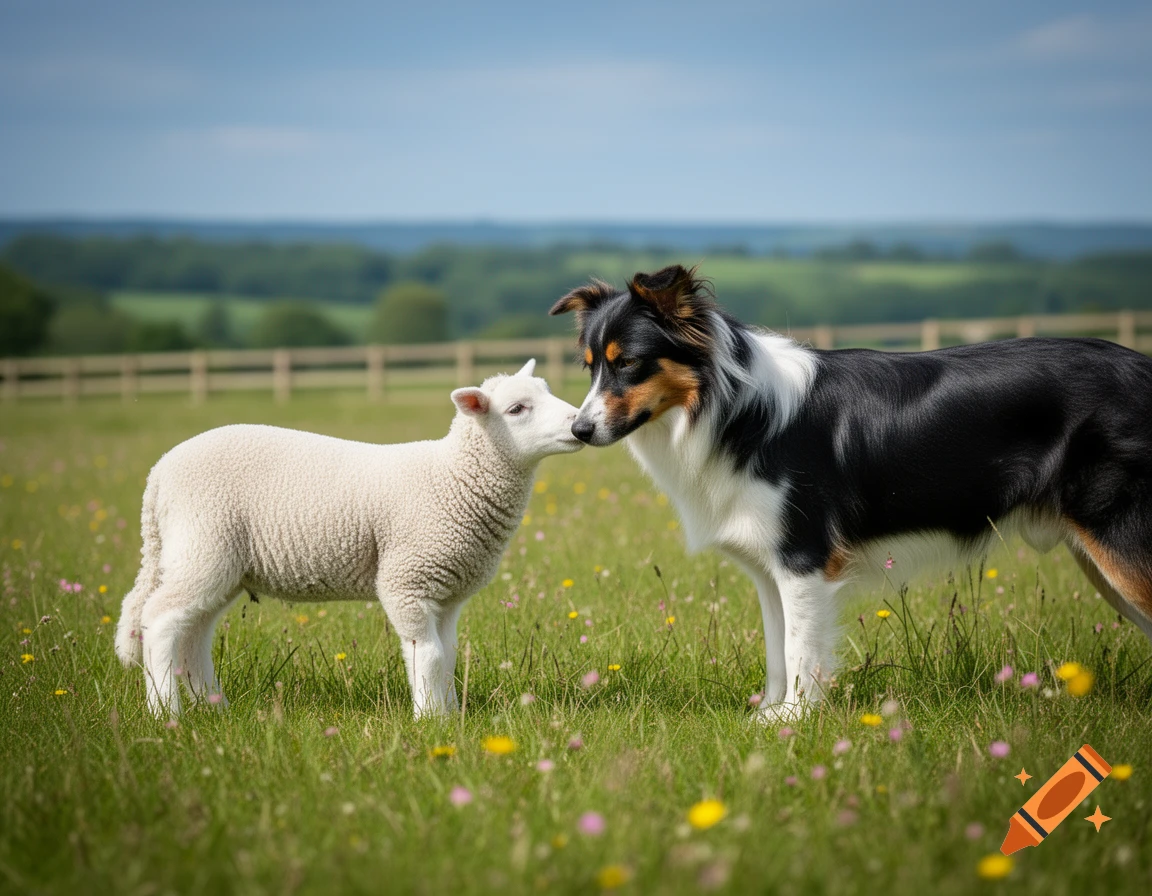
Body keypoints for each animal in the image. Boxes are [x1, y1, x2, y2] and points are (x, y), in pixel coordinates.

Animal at [115, 359, 583, 718]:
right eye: (517, 408)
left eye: (546, 390)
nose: (580, 425)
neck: (452, 477)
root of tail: (159, 473)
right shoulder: (407, 580)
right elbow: (427, 654)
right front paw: (430, 721)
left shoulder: (448, 592)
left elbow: (447, 654)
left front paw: (451, 713)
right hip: (203, 544)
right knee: (159, 621)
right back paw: (167, 713)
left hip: (220, 563)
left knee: (193, 633)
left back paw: (212, 707)